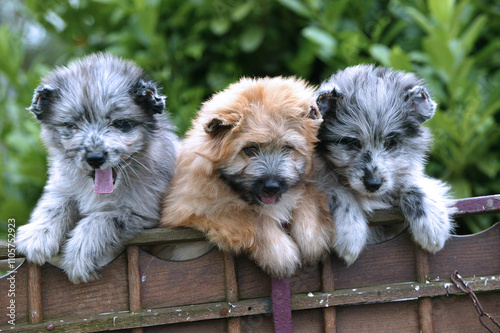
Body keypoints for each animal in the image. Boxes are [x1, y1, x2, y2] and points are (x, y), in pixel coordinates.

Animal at [15, 53, 178, 282]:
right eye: (71, 125)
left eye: (121, 124)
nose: (95, 157)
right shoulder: (62, 185)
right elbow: (55, 204)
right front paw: (39, 234)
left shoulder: (138, 212)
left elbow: (100, 220)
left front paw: (79, 253)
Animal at [160, 76, 332, 276]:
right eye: (250, 149)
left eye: (287, 148)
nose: (272, 187)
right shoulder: (188, 209)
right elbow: (249, 216)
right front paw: (280, 253)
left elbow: (306, 195)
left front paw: (312, 238)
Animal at [316, 64, 454, 264]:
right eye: (353, 143)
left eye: (390, 142)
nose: (373, 184)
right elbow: (335, 191)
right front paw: (350, 232)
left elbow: (414, 184)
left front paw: (432, 225)